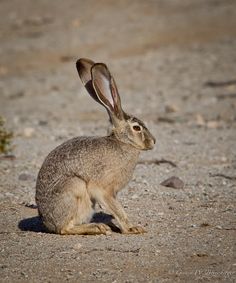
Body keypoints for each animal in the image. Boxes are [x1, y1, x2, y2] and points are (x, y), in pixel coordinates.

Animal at [35, 59, 155, 235]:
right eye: (137, 128)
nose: (153, 142)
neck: (122, 142)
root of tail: (48, 223)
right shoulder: (104, 189)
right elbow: (117, 209)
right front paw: (131, 228)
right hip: (75, 187)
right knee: (65, 228)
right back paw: (97, 227)